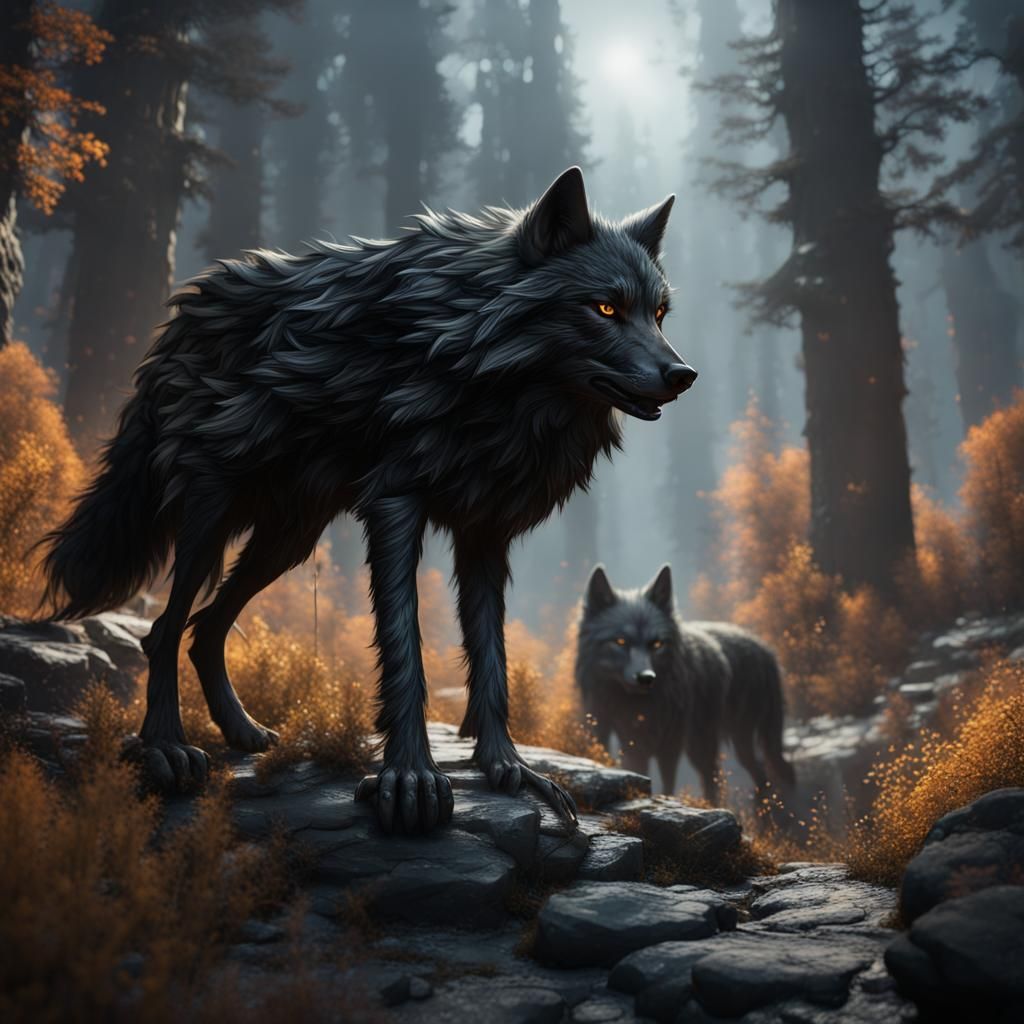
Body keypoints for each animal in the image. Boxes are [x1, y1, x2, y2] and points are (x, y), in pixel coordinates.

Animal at [43, 167, 697, 834]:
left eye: (659, 313)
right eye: (605, 307)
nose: (683, 375)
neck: (478, 362)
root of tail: (185, 310)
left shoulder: (485, 531)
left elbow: (492, 660)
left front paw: (508, 769)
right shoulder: (395, 507)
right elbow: (406, 650)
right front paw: (410, 781)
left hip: (288, 538)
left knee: (204, 629)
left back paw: (242, 734)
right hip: (210, 518)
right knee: (165, 630)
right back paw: (167, 748)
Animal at [575, 564, 795, 804]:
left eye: (657, 644)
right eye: (621, 641)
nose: (646, 677)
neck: (632, 706)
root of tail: (766, 650)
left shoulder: (670, 742)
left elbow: (667, 783)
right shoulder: (611, 734)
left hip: (707, 742)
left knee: (724, 775)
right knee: (757, 772)